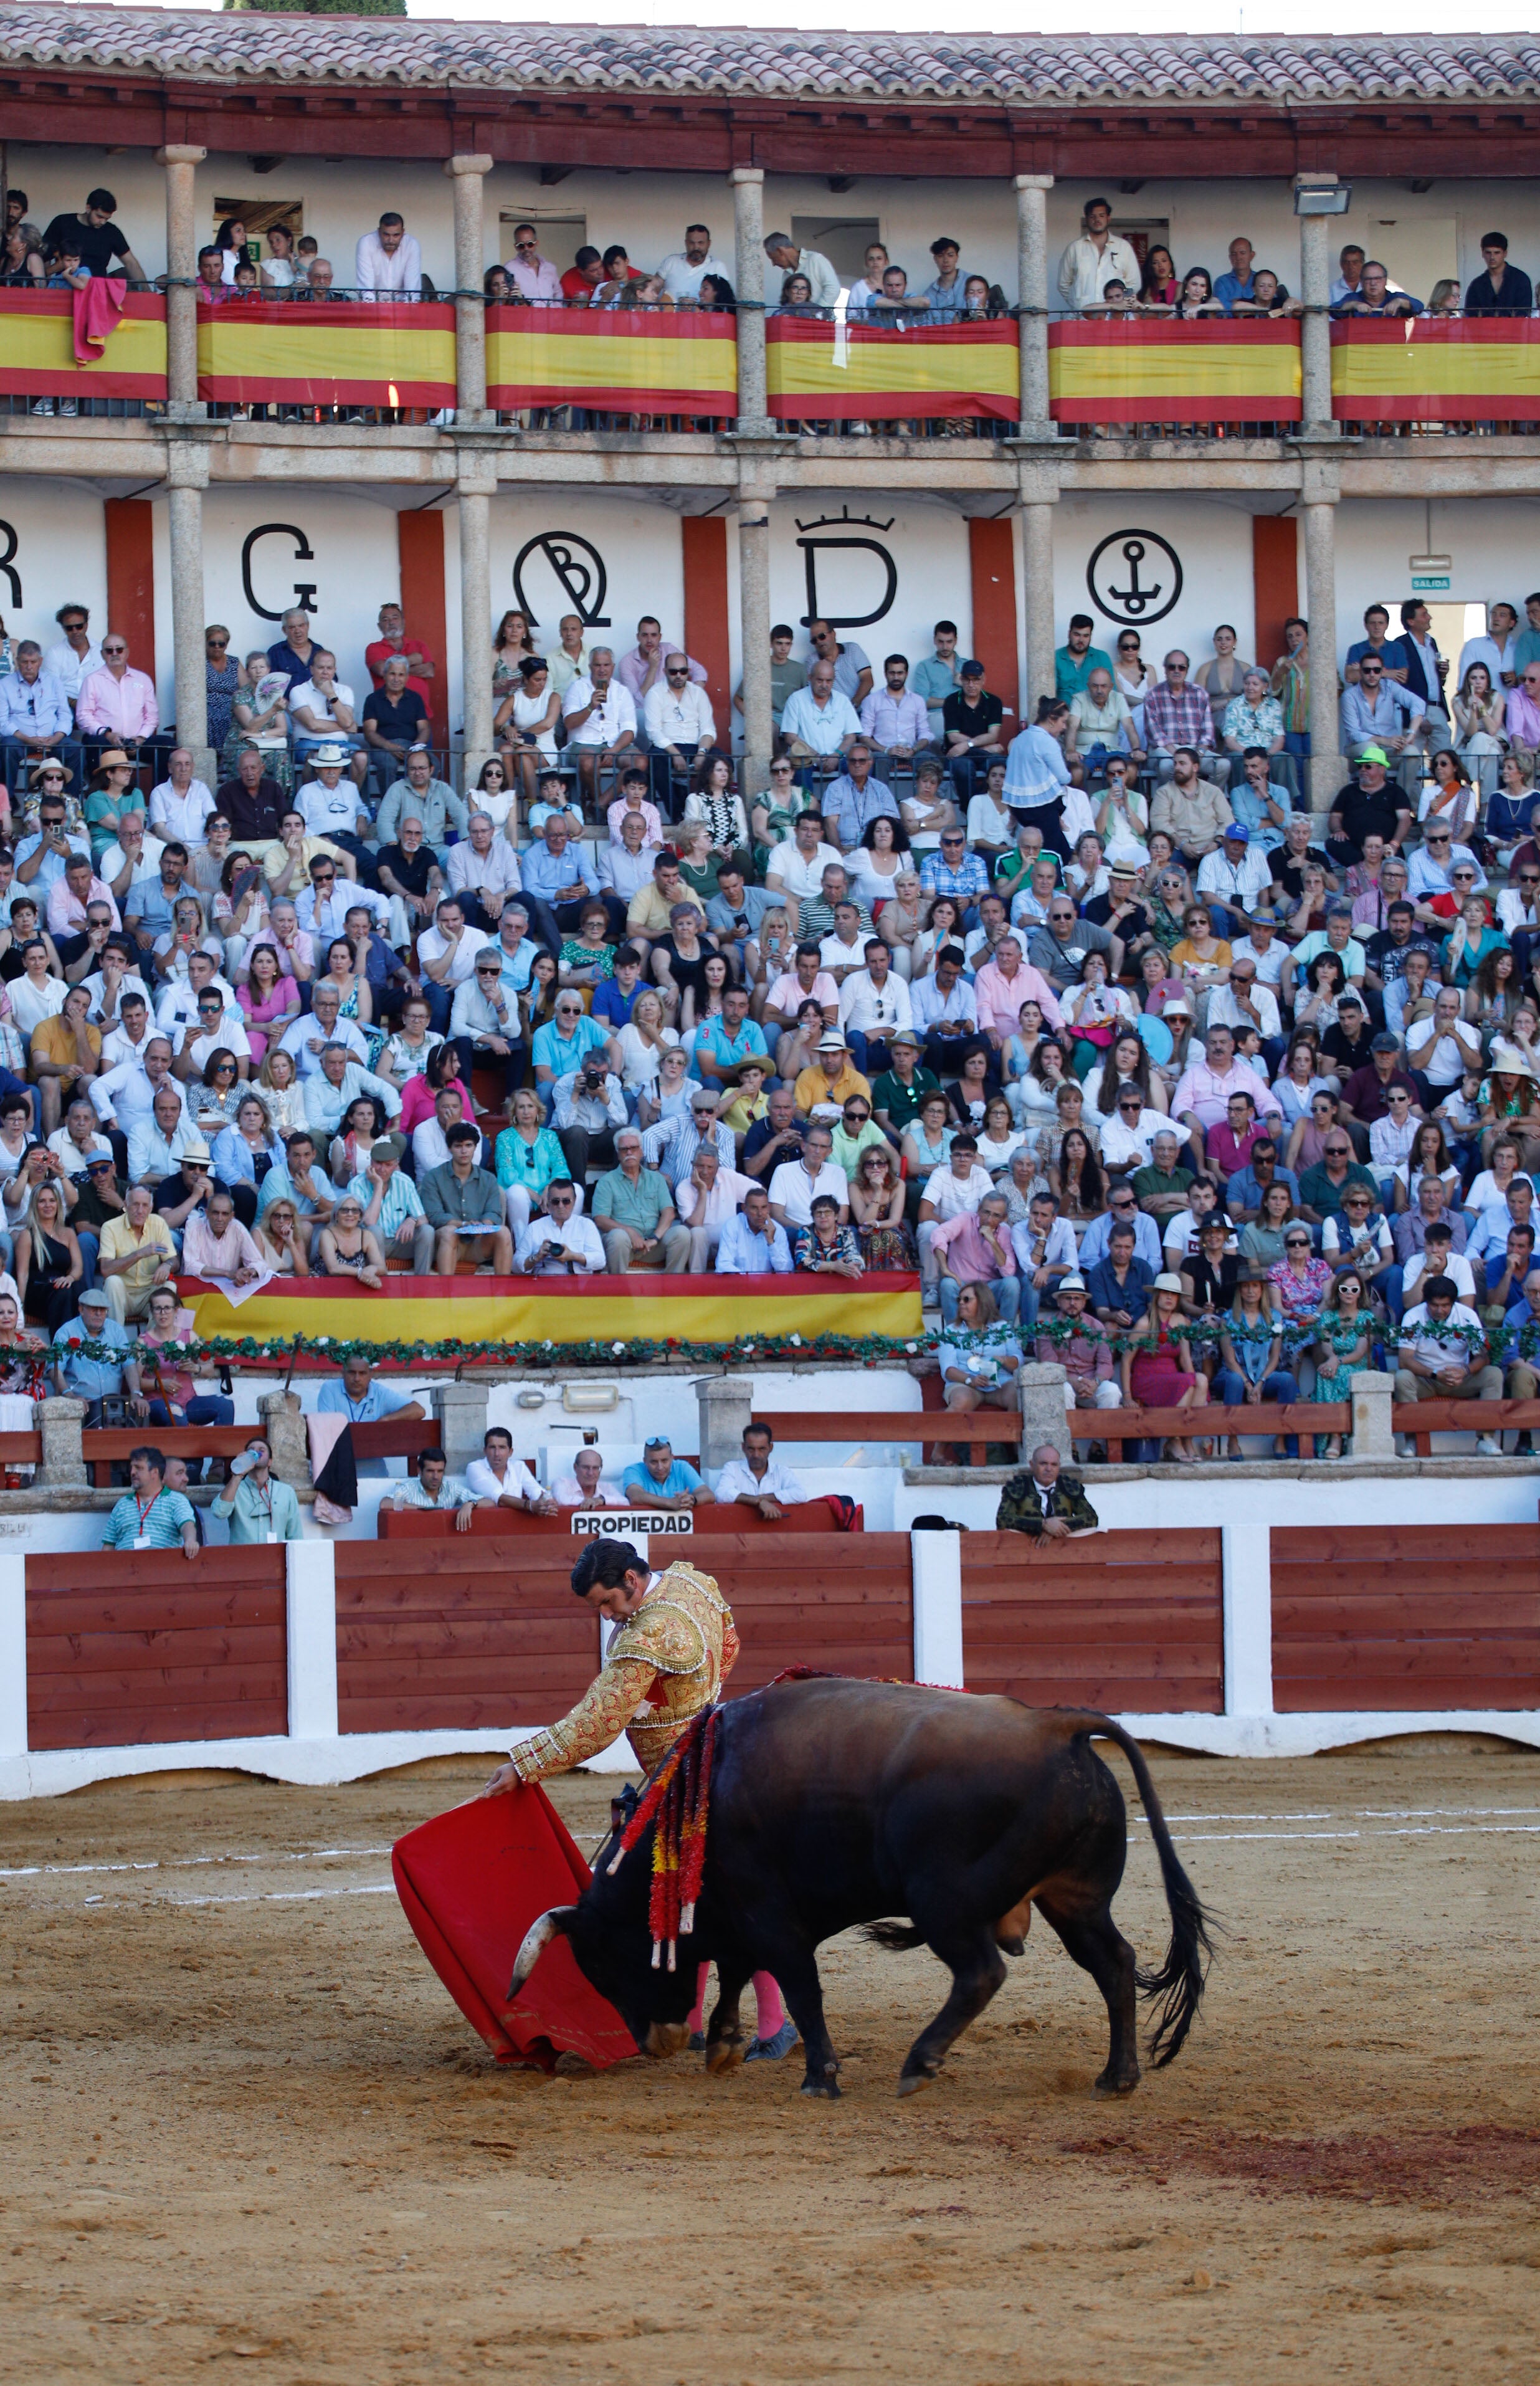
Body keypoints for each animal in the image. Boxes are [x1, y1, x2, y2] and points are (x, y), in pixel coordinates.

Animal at [512, 1689, 1210, 2099]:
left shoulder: (771, 1916)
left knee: (981, 1973)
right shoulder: (742, 1917)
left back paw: (920, 2064)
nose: (653, 2042)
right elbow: (738, 1970)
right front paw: (725, 2043)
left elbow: (800, 1986)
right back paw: (1116, 2077)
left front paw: (819, 2076)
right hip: (1075, 1899)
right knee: (1114, 1964)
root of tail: (1058, 1728)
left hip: (944, 1903)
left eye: (605, 1965)